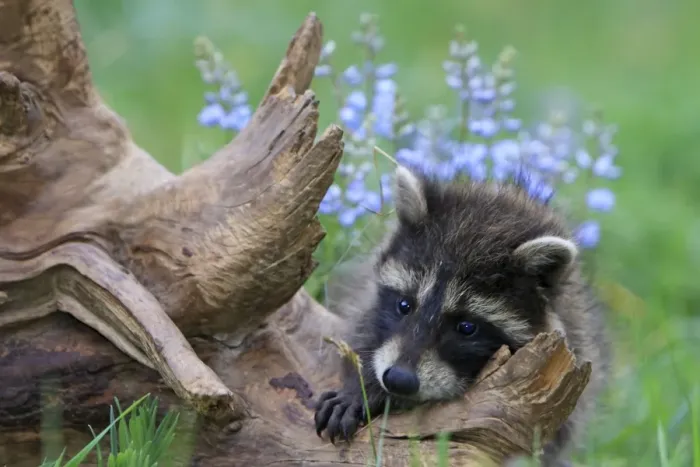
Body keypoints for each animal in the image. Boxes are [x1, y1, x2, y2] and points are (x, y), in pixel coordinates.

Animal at [314, 165, 611, 466]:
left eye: (467, 327)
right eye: (404, 305)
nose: (398, 379)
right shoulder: (367, 300)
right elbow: (362, 332)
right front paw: (361, 386)